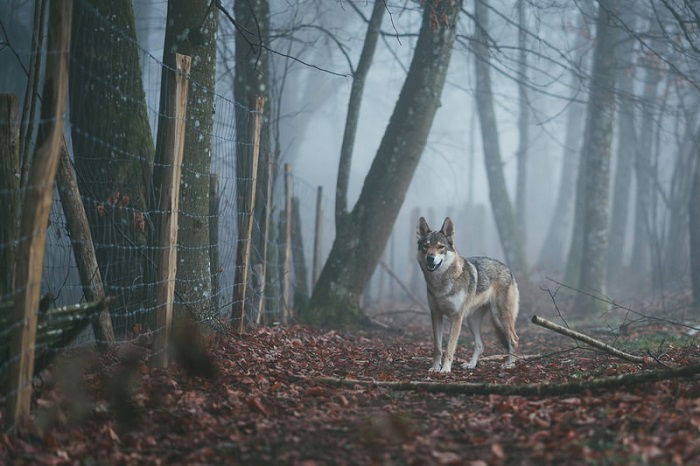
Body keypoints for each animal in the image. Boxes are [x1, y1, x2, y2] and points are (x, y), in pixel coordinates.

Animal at [416, 217, 520, 374]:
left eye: (440, 247)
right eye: (426, 246)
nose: (430, 258)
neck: (440, 283)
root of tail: (508, 269)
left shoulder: (456, 318)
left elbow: (450, 347)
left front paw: (445, 369)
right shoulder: (436, 315)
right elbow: (438, 347)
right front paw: (435, 367)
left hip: (500, 317)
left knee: (514, 340)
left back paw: (509, 364)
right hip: (472, 320)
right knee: (480, 345)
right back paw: (471, 364)